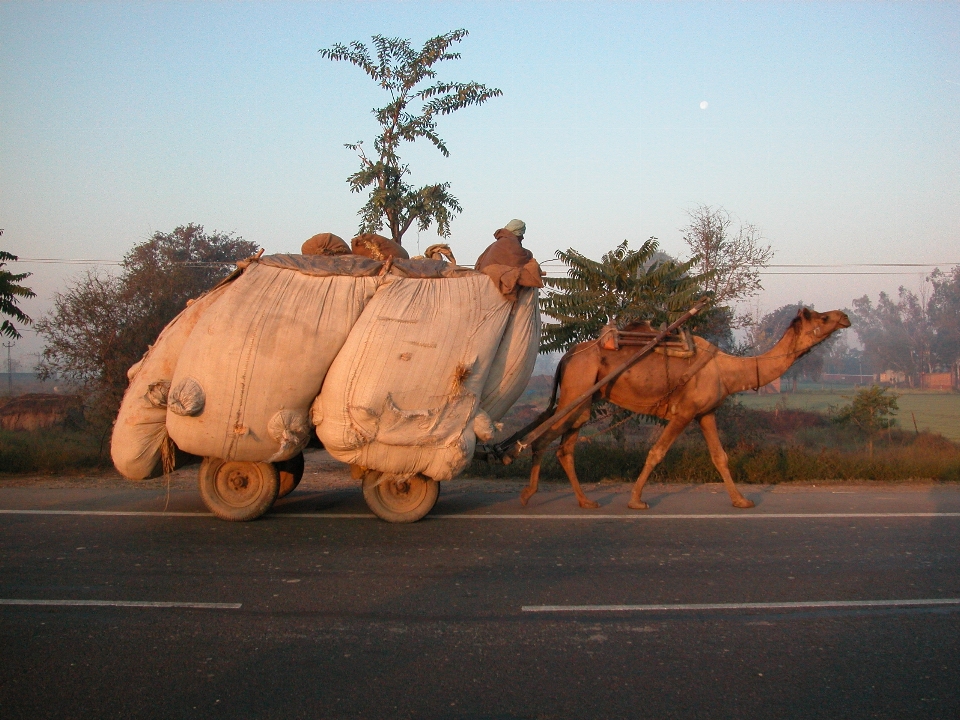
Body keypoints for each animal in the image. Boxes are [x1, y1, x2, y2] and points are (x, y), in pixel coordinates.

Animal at [510, 310, 848, 512]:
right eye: (821, 317)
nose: (844, 316)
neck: (728, 371)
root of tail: (567, 356)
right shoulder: (684, 412)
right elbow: (656, 453)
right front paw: (636, 501)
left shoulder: (705, 412)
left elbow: (720, 456)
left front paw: (741, 500)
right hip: (576, 392)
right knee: (541, 439)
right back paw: (527, 494)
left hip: (583, 399)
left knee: (565, 447)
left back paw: (585, 501)